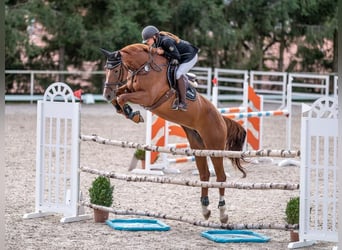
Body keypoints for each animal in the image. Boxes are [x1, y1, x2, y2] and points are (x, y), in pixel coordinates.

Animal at [101, 43, 246, 223]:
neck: (144, 68)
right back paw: (205, 209)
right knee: (204, 174)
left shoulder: (147, 97)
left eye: (115, 70)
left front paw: (131, 113)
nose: (106, 95)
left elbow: (122, 97)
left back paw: (223, 213)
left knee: (221, 177)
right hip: (198, 146)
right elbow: (120, 96)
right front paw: (128, 112)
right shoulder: (130, 88)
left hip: (215, 147)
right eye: (105, 69)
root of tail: (220, 117)